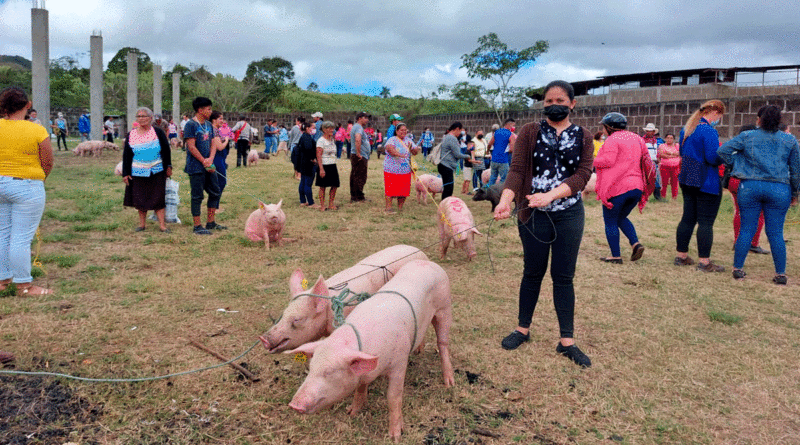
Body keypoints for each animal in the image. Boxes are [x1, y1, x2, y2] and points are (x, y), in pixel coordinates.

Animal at [288, 258, 454, 442]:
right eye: (311, 368)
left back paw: (449, 383)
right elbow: (360, 388)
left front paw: (395, 436)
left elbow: (393, 396)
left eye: (329, 372)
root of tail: (429, 263)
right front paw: (351, 413)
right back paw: (419, 351)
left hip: (445, 307)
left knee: (442, 343)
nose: (294, 405)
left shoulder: (399, 362)